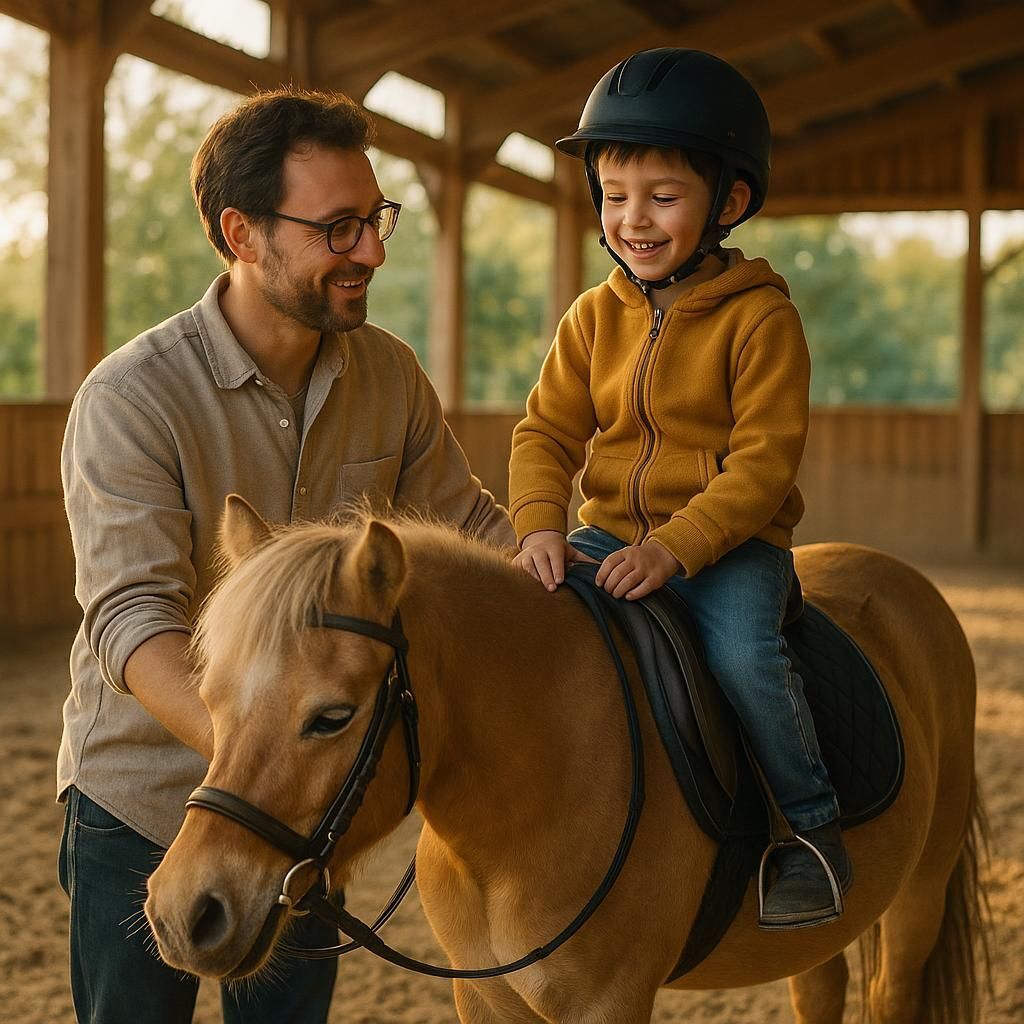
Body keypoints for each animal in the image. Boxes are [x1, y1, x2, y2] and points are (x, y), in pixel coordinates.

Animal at [145, 495, 988, 1024]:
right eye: (210, 699)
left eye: (332, 717)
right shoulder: (485, 1000)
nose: (185, 911)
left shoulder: (606, 1005)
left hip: (921, 890)